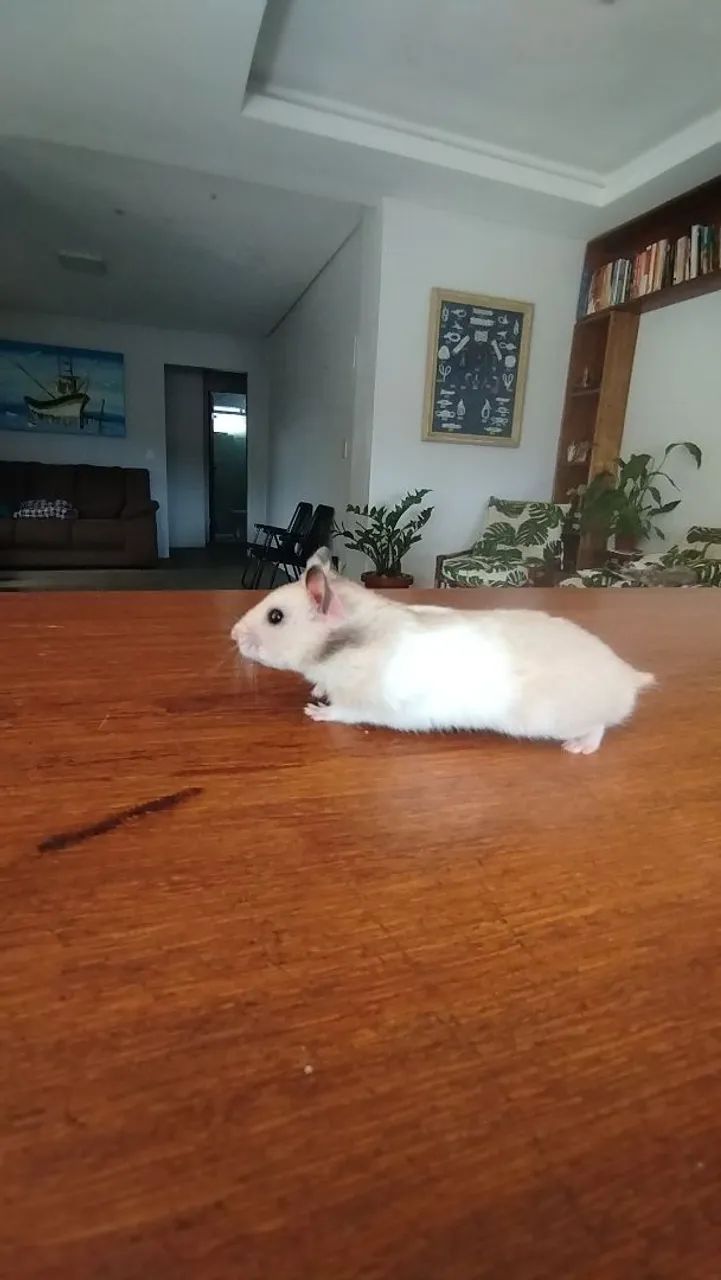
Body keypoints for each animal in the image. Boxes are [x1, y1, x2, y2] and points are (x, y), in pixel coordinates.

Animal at [231, 549, 654, 754]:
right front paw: (317, 692)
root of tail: (628, 677)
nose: (233, 634)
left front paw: (315, 711)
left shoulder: (364, 704)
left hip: (565, 719)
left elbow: (343, 712)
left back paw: (578, 748)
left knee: (599, 726)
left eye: (274, 617)